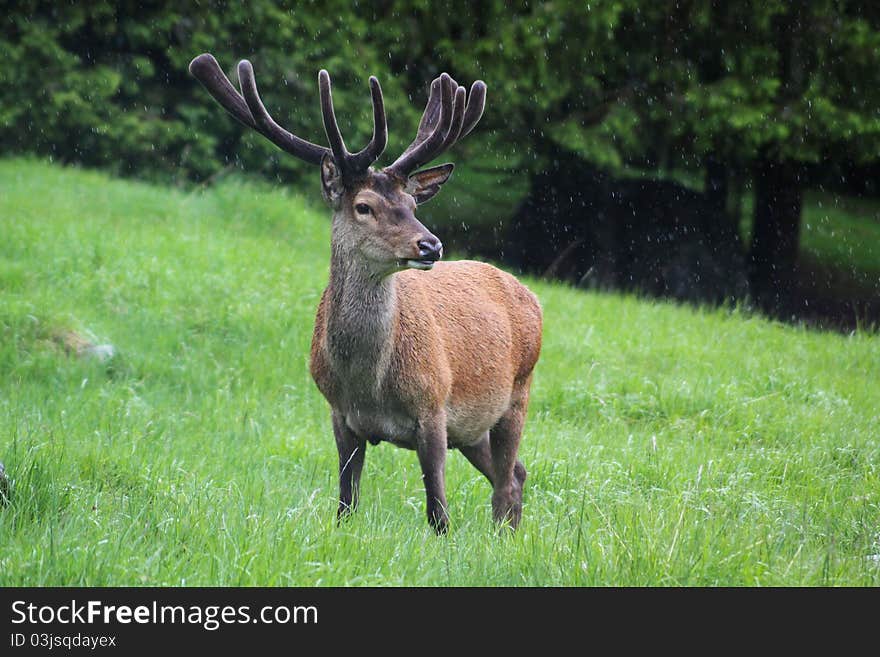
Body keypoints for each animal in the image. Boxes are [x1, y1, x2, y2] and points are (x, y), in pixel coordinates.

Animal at [189, 52, 540, 532]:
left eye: (412, 206)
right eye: (364, 206)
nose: (431, 245)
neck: (368, 383)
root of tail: (530, 296)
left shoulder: (434, 406)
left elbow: (438, 512)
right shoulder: (340, 415)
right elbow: (345, 504)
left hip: (518, 391)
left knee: (506, 481)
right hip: (471, 427)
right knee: (517, 473)